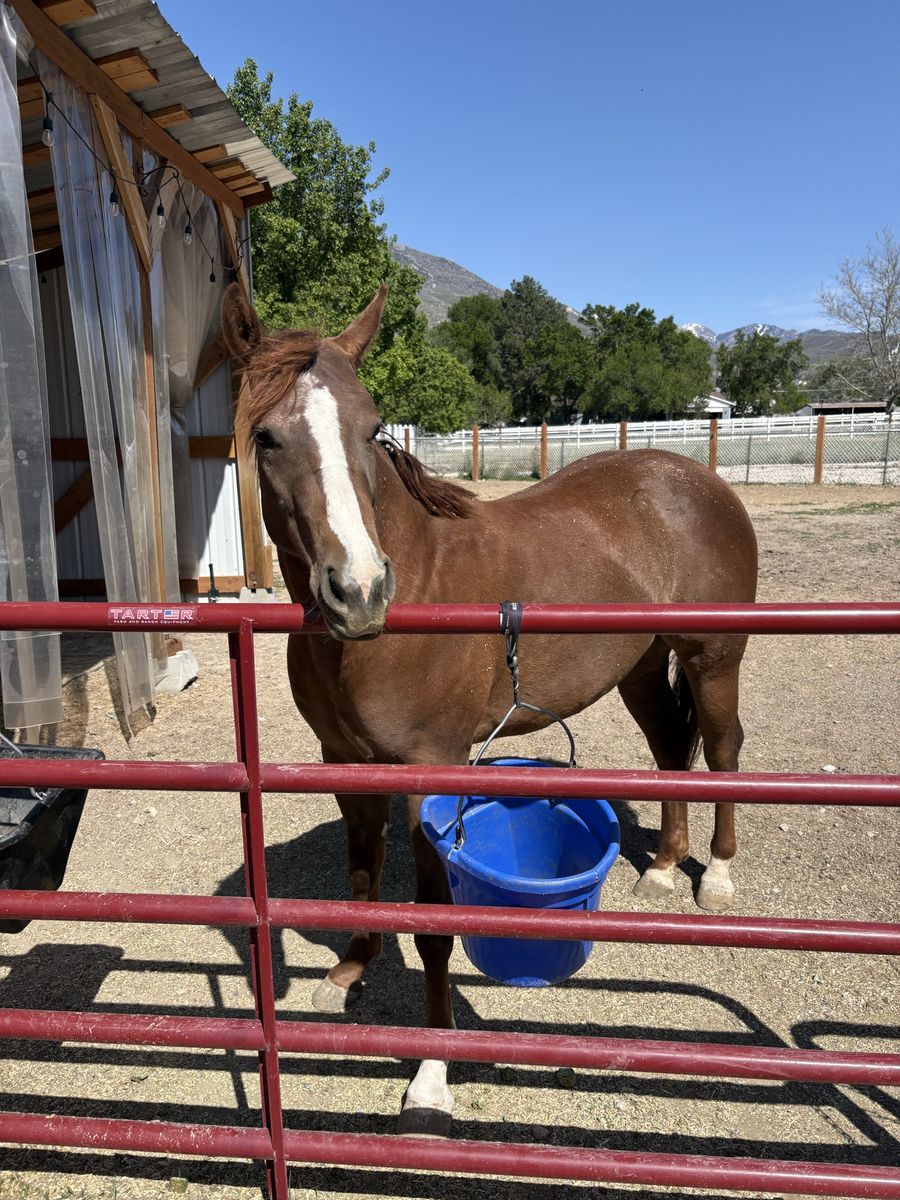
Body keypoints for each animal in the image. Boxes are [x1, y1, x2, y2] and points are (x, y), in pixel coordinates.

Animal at [221, 283, 758, 1136]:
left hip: (713, 658)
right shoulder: (348, 764)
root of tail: (693, 478)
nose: (359, 590)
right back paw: (665, 869)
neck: (416, 591)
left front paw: (432, 1078)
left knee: (723, 748)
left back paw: (719, 878)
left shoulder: (431, 773)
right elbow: (362, 870)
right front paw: (349, 972)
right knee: (672, 750)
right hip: (641, 665)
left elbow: (436, 928)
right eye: (267, 436)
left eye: (371, 428)